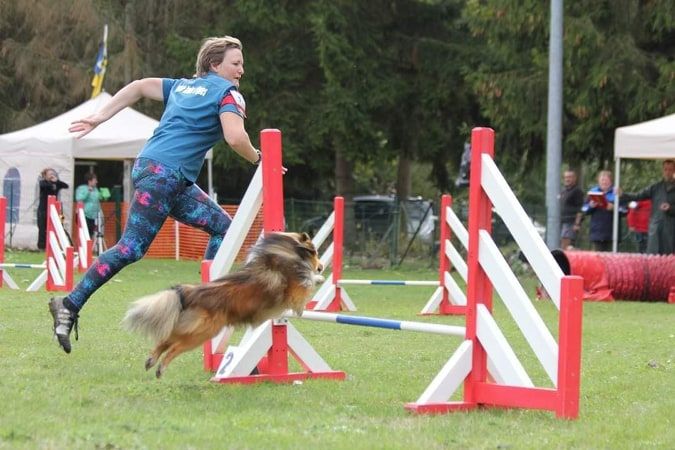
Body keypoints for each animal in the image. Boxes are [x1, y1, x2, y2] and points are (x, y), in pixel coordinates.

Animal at [123, 232, 324, 376]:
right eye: (314, 252)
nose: (321, 267)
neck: (286, 252)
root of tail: (190, 291)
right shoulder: (295, 292)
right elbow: (307, 284)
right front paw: (318, 279)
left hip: (189, 328)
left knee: (165, 340)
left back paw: (150, 360)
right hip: (202, 332)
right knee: (174, 347)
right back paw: (161, 368)